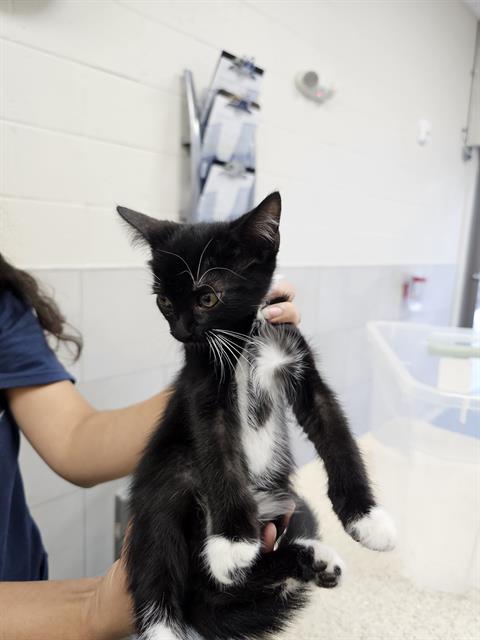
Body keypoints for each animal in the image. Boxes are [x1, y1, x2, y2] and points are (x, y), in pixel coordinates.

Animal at [118, 192, 396, 640]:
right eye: (164, 302)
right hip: (169, 476)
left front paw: (367, 519)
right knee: (175, 573)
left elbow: (338, 436)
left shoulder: (301, 366)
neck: (245, 338)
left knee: (230, 587)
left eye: (207, 297)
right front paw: (232, 540)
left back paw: (315, 561)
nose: (181, 332)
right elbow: (219, 455)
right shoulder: (202, 386)